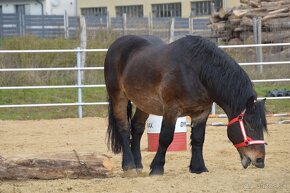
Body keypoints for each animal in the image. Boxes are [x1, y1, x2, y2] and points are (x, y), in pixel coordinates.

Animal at [103, 34, 268, 176]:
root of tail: (116, 44)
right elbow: (165, 137)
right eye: (249, 125)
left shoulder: (202, 112)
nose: (260, 160)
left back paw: (138, 165)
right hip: (118, 97)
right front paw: (157, 168)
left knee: (137, 128)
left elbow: (198, 139)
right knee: (124, 128)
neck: (197, 71)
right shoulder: (171, 109)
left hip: (144, 103)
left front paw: (198, 168)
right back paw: (129, 166)